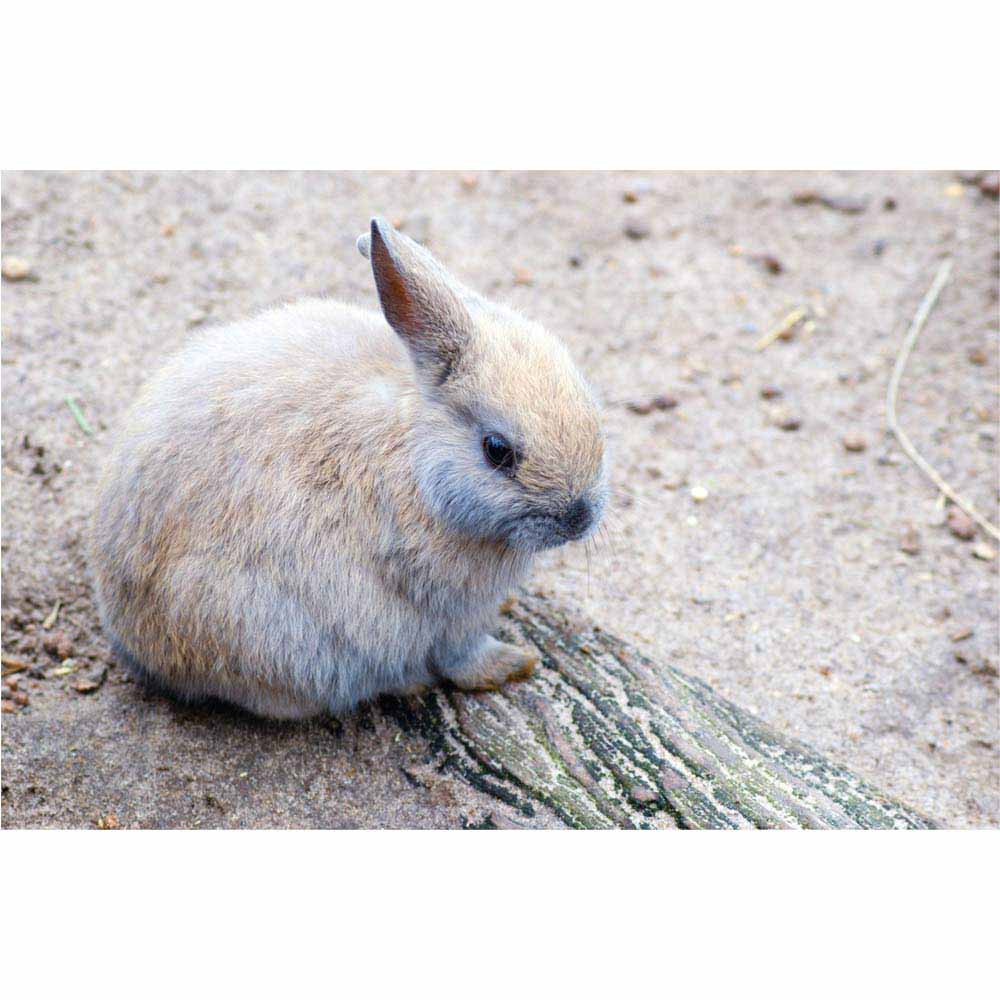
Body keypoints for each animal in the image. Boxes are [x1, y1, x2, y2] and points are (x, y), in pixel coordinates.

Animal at [90, 217, 608, 719]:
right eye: (497, 450)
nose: (579, 518)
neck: (418, 456)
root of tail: (138, 645)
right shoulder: (448, 612)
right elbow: (462, 658)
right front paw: (515, 664)